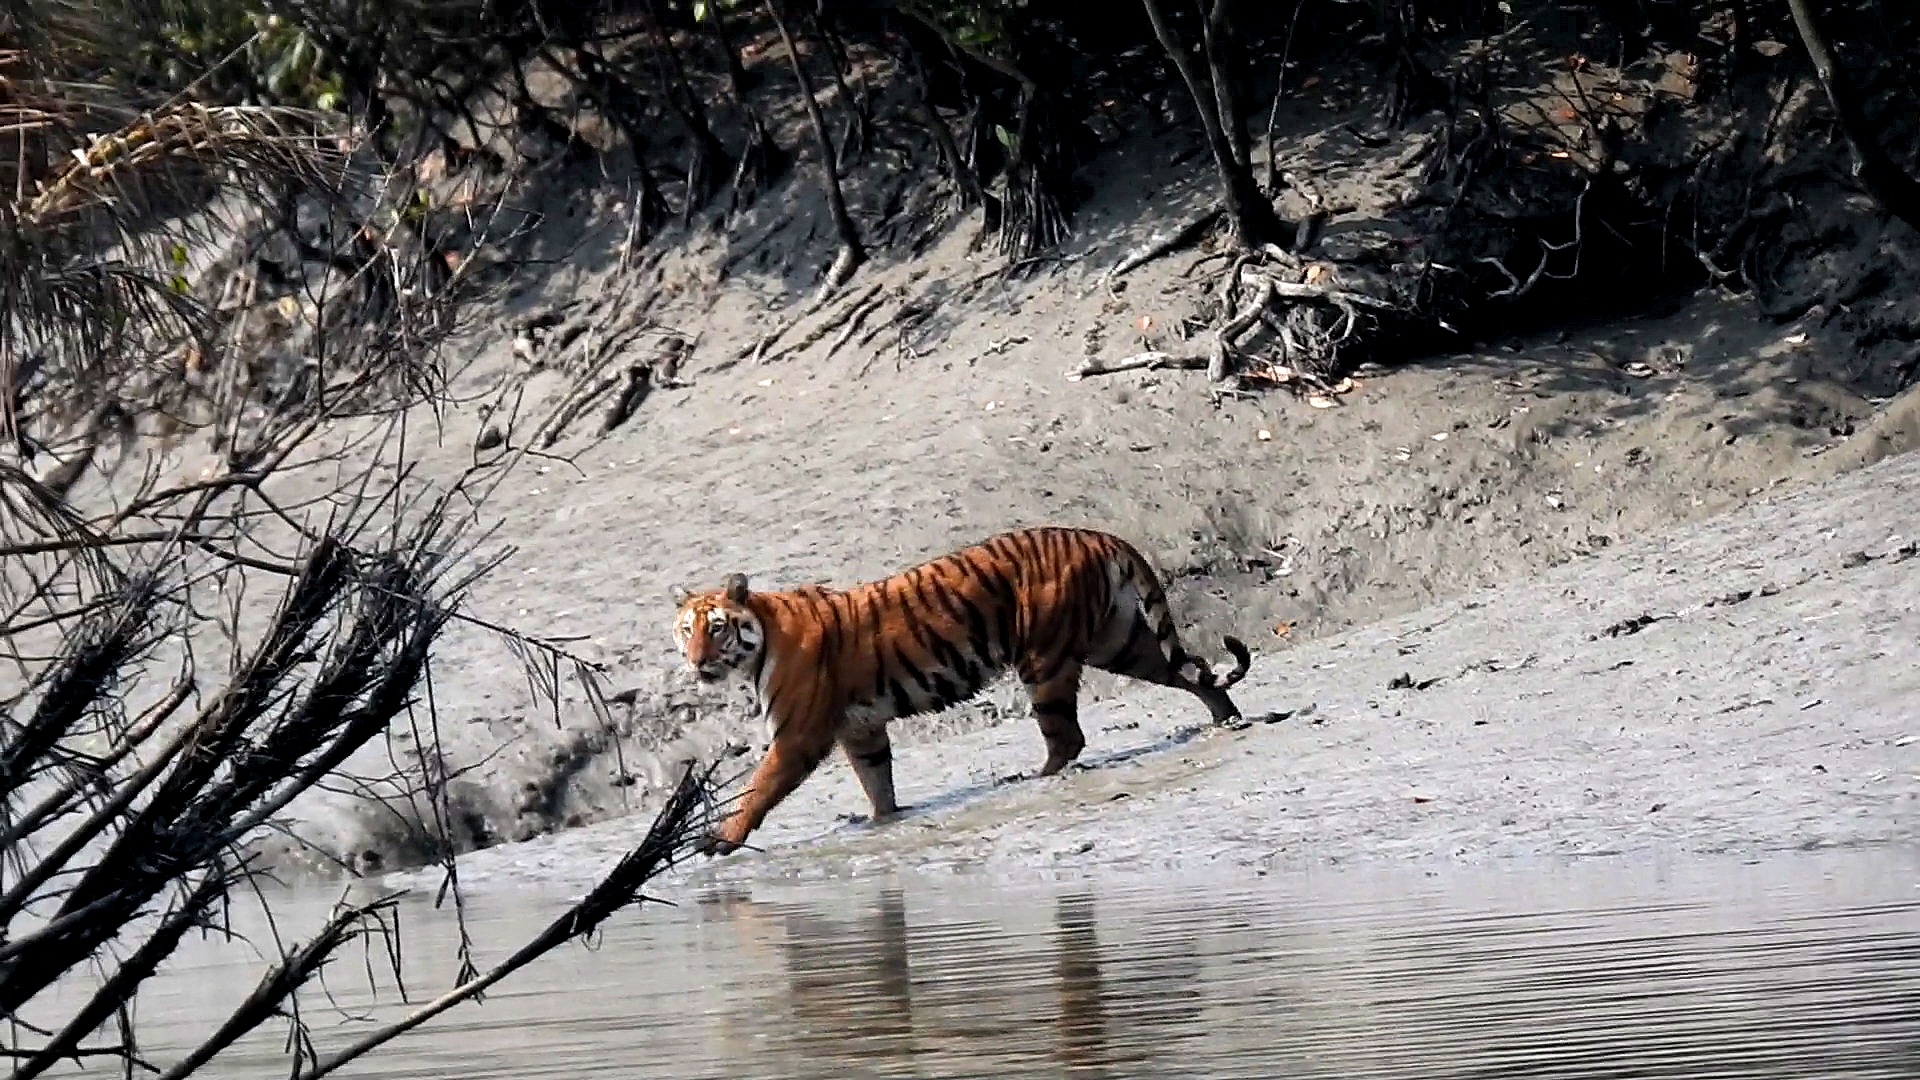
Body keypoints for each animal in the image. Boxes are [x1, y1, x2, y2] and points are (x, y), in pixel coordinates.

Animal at [670, 525, 1254, 856]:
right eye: (685, 629)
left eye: (716, 628)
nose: (695, 661)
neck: (761, 636)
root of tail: (1093, 534)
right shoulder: (861, 728)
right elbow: (876, 779)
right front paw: (883, 821)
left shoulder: (797, 735)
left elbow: (759, 787)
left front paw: (720, 840)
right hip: (1122, 642)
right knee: (1195, 670)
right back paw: (1225, 717)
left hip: (1044, 658)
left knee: (1067, 736)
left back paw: (1035, 776)